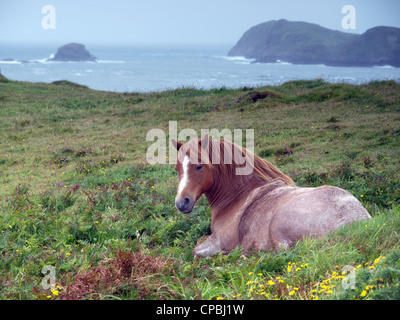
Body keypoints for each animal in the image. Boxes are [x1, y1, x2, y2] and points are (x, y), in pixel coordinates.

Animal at [170, 135, 370, 258]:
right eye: (177, 169)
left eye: (199, 166)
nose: (181, 203)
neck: (237, 196)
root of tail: (356, 221)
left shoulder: (219, 241)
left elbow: (195, 248)